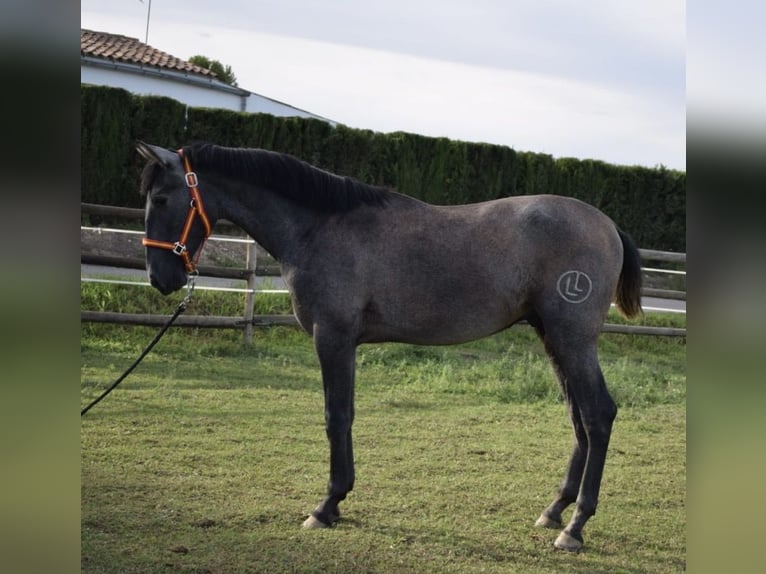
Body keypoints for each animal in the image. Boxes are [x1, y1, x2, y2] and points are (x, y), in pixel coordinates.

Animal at [136, 141, 640, 552]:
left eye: (160, 199)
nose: (161, 278)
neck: (318, 226)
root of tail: (609, 225)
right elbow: (344, 416)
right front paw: (336, 502)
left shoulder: (333, 338)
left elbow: (336, 417)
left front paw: (327, 505)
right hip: (552, 337)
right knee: (578, 417)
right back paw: (555, 510)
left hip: (573, 339)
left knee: (598, 415)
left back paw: (574, 527)